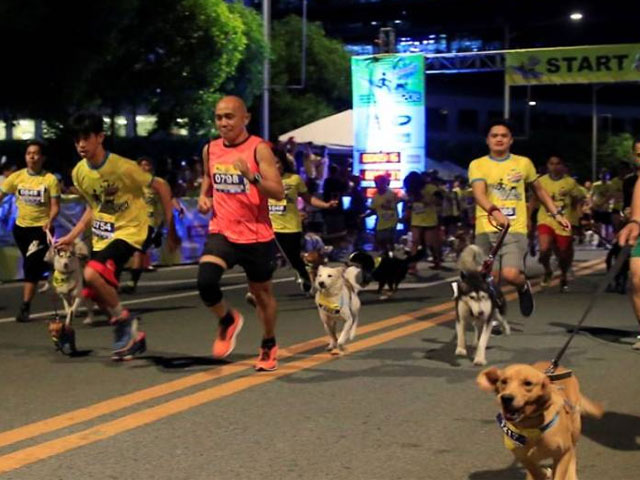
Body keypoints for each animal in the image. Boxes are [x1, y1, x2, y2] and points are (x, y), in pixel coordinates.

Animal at [476, 364, 604, 480]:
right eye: (503, 381)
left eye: (528, 383)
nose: (506, 398)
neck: (532, 426)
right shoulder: (523, 456)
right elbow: (535, 470)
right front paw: (544, 473)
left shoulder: (563, 453)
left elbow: (560, 472)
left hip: (575, 430)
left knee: (573, 454)